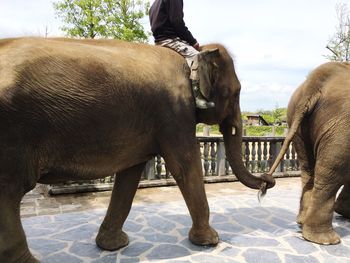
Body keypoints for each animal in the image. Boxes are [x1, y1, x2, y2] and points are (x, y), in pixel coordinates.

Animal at [0, 37, 274, 263]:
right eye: (235, 92)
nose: (267, 182)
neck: (192, 57)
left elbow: (130, 174)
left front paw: (114, 246)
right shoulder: (174, 111)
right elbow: (185, 165)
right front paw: (210, 241)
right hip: (12, 136)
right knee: (10, 190)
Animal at [266, 61, 350, 245]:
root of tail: (313, 83)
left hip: (296, 122)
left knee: (308, 169)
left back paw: (302, 224)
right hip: (342, 127)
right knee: (331, 173)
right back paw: (325, 240)